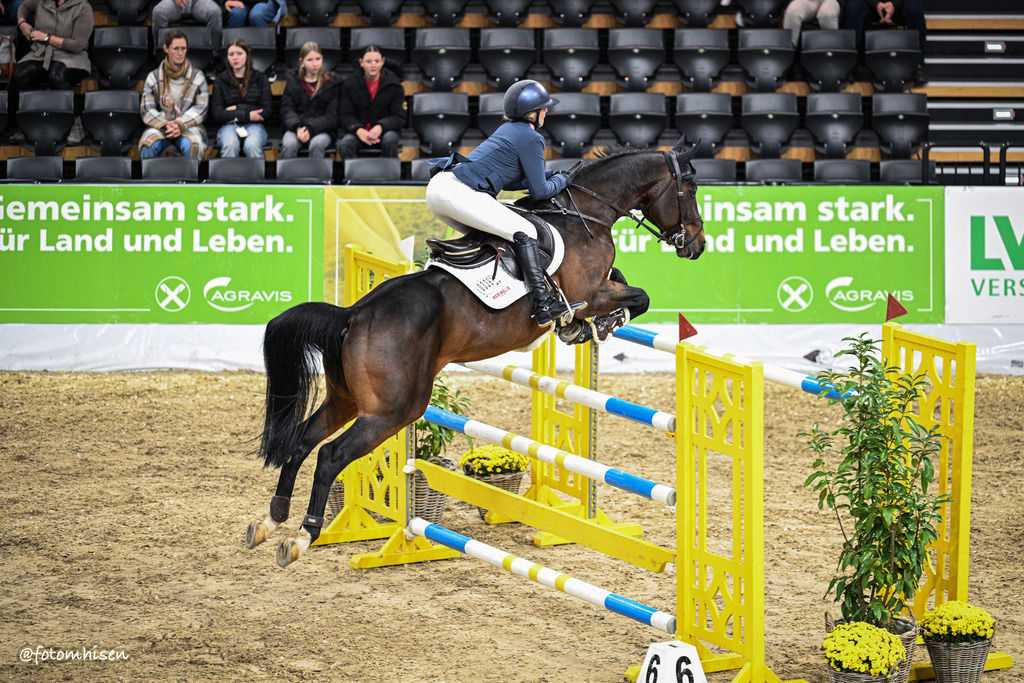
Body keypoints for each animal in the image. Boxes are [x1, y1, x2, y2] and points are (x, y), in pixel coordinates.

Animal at [245, 136, 705, 567]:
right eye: (691, 187)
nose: (696, 245)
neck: (588, 212)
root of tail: (353, 315)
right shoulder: (591, 292)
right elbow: (638, 296)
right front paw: (596, 325)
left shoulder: (597, 288)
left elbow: (626, 283)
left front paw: (579, 327)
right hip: (393, 410)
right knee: (329, 455)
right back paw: (303, 536)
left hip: (347, 399)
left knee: (302, 441)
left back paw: (271, 521)